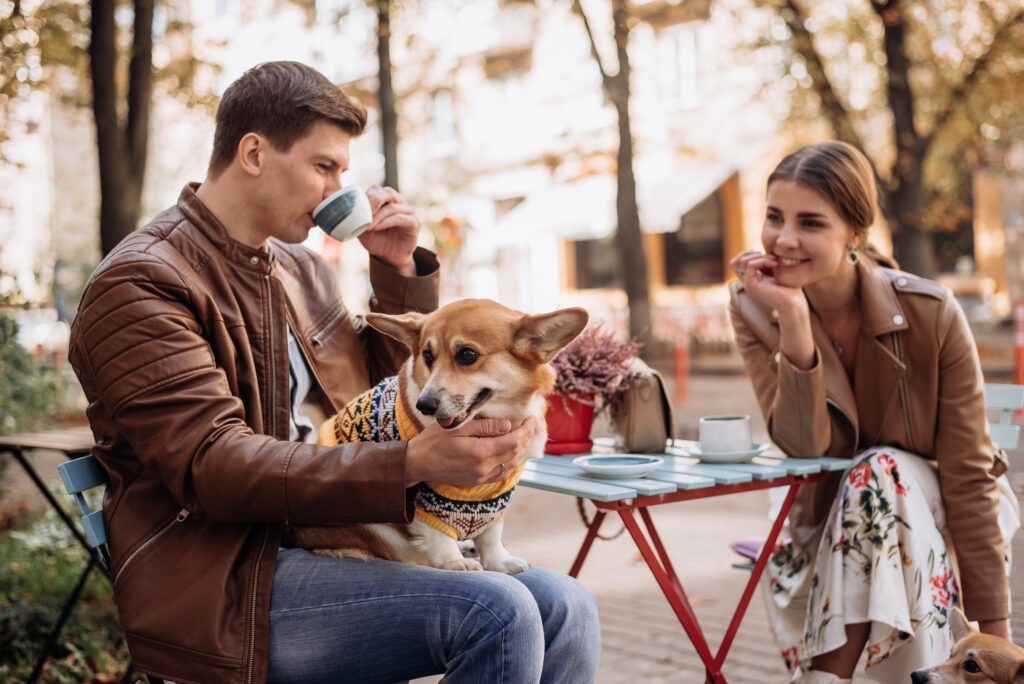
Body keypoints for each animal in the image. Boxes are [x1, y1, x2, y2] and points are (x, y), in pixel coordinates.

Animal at [292, 298, 589, 573]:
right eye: (427, 356)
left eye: (467, 355)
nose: (425, 405)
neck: (492, 417)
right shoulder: (424, 497)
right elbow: (437, 533)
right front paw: (453, 561)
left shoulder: (499, 492)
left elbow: (492, 533)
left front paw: (499, 561)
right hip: (376, 527)